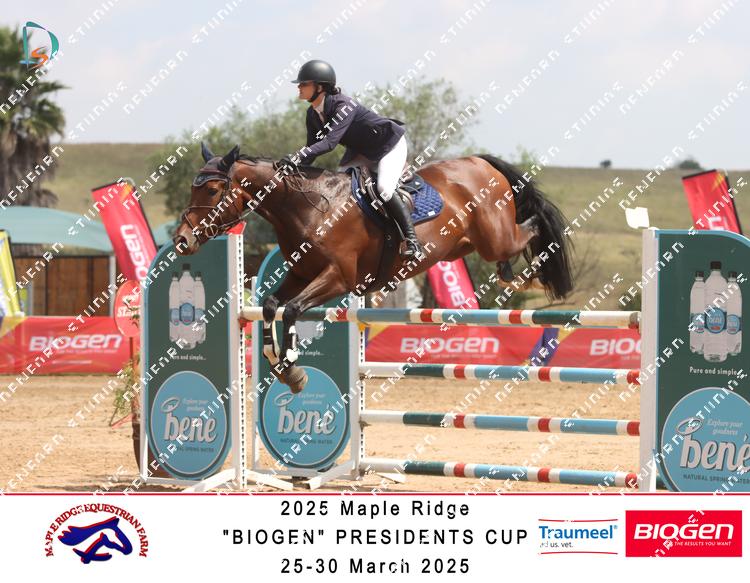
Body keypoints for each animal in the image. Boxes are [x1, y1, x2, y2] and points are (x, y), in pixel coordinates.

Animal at [173, 142, 574, 393]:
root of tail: (480, 162)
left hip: (496, 236)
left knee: (531, 225)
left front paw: (291, 366)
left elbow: (293, 309)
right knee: (505, 251)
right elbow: (273, 305)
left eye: (212, 190)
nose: (181, 241)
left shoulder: (337, 278)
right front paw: (281, 364)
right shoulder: (301, 274)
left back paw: (536, 270)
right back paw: (511, 275)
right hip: (466, 245)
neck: (309, 207)